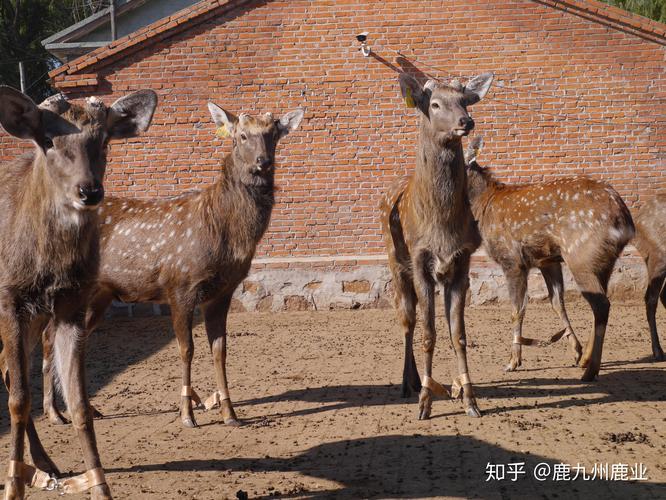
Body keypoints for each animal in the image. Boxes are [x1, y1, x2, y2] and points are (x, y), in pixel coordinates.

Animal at [0, 86, 157, 499]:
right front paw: (12, 487)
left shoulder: (70, 305)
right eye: (47, 139)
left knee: (5, 370)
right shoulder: (9, 300)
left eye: (103, 140)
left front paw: (100, 488)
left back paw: (45, 464)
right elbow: (19, 399)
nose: (89, 190)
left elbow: (80, 403)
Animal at [41, 103, 304, 429]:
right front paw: (187, 414)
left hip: (99, 295)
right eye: (242, 135)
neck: (225, 231)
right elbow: (186, 349)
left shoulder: (223, 292)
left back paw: (88, 409)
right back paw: (54, 413)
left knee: (73, 341)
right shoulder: (180, 284)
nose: (263, 161)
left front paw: (230, 413)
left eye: (273, 135)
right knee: (48, 336)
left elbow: (220, 350)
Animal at [380, 72, 494, 419]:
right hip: (395, 264)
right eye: (434, 104)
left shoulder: (461, 262)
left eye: (464, 100)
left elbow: (459, 334)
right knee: (407, 320)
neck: (441, 226)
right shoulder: (420, 262)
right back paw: (409, 383)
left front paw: (471, 400)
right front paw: (425, 403)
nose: (466, 121)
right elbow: (428, 334)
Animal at [464, 137, 635, 381]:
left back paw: (590, 371)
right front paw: (576, 351)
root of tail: (625, 221)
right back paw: (585, 359)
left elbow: (517, 310)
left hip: (581, 256)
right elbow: (557, 304)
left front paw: (513, 361)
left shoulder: (512, 260)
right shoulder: (548, 261)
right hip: (603, 261)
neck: (483, 206)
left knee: (601, 304)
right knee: (601, 301)